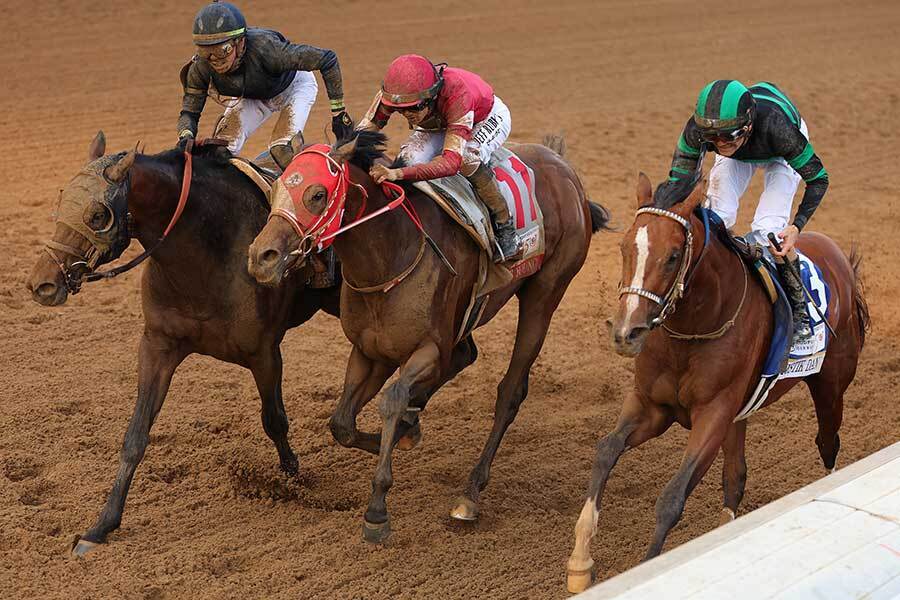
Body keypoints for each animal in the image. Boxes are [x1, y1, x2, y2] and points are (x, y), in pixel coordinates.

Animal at [26, 134, 342, 556]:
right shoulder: (158, 346)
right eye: (61, 204)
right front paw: (101, 525)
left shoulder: (264, 353)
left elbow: (274, 420)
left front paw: (293, 479)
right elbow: (136, 436)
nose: (42, 284)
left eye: (97, 215)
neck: (209, 253)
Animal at [250, 131, 608, 544]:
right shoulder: (370, 351)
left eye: (317, 194)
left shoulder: (429, 349)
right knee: (465, 356)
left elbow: (393, 399)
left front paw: (377, 508)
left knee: (510, 392)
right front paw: (404, 431)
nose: (260, 256)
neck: (391, 253)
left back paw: (470, 494)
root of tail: (565, 169)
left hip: (545, 293)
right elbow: (342, 423)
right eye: (276, 187)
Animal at [568, 173, 868, 592]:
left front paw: (647, 568)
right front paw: (580, 561)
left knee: (827, 443)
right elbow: (606, 449)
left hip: (830, 386)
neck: (693, 328)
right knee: (736, 476)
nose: (627, 333)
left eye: (673, 255)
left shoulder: (713, 414)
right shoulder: (652, 406)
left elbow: (672, 497)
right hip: (740, 413)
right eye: (625, 247)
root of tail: (835, 253)